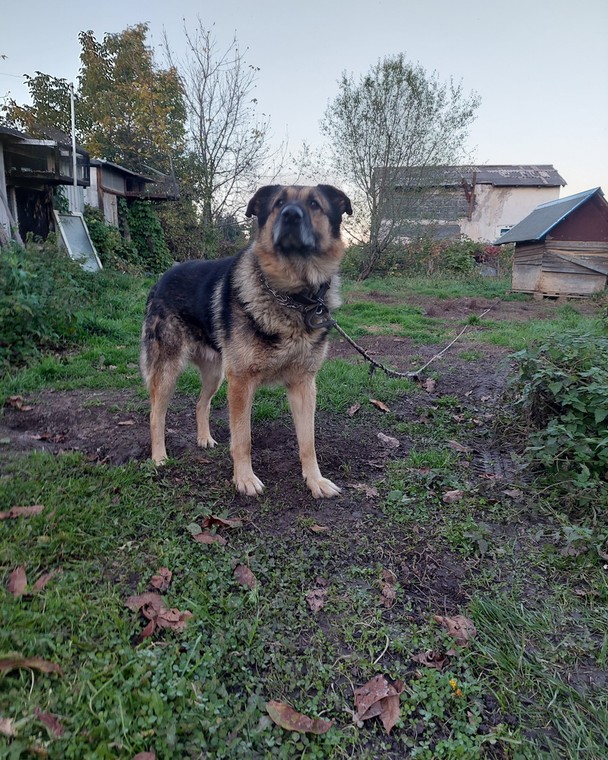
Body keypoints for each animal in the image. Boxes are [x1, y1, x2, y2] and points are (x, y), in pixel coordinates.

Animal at [140, 185, 352, 498]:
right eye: (278, 203)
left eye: (315, 204)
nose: (290, 215)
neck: (292, 297)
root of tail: (161, 278)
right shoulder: (241, 382)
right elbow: (243, 438)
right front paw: (244, 479)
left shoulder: (304, 385)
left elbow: (308, 441)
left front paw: (315, 480)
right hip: (168, 372)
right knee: (156, 415)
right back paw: (158, 458)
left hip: (215, 375)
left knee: (201, 404)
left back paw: (204, 439)